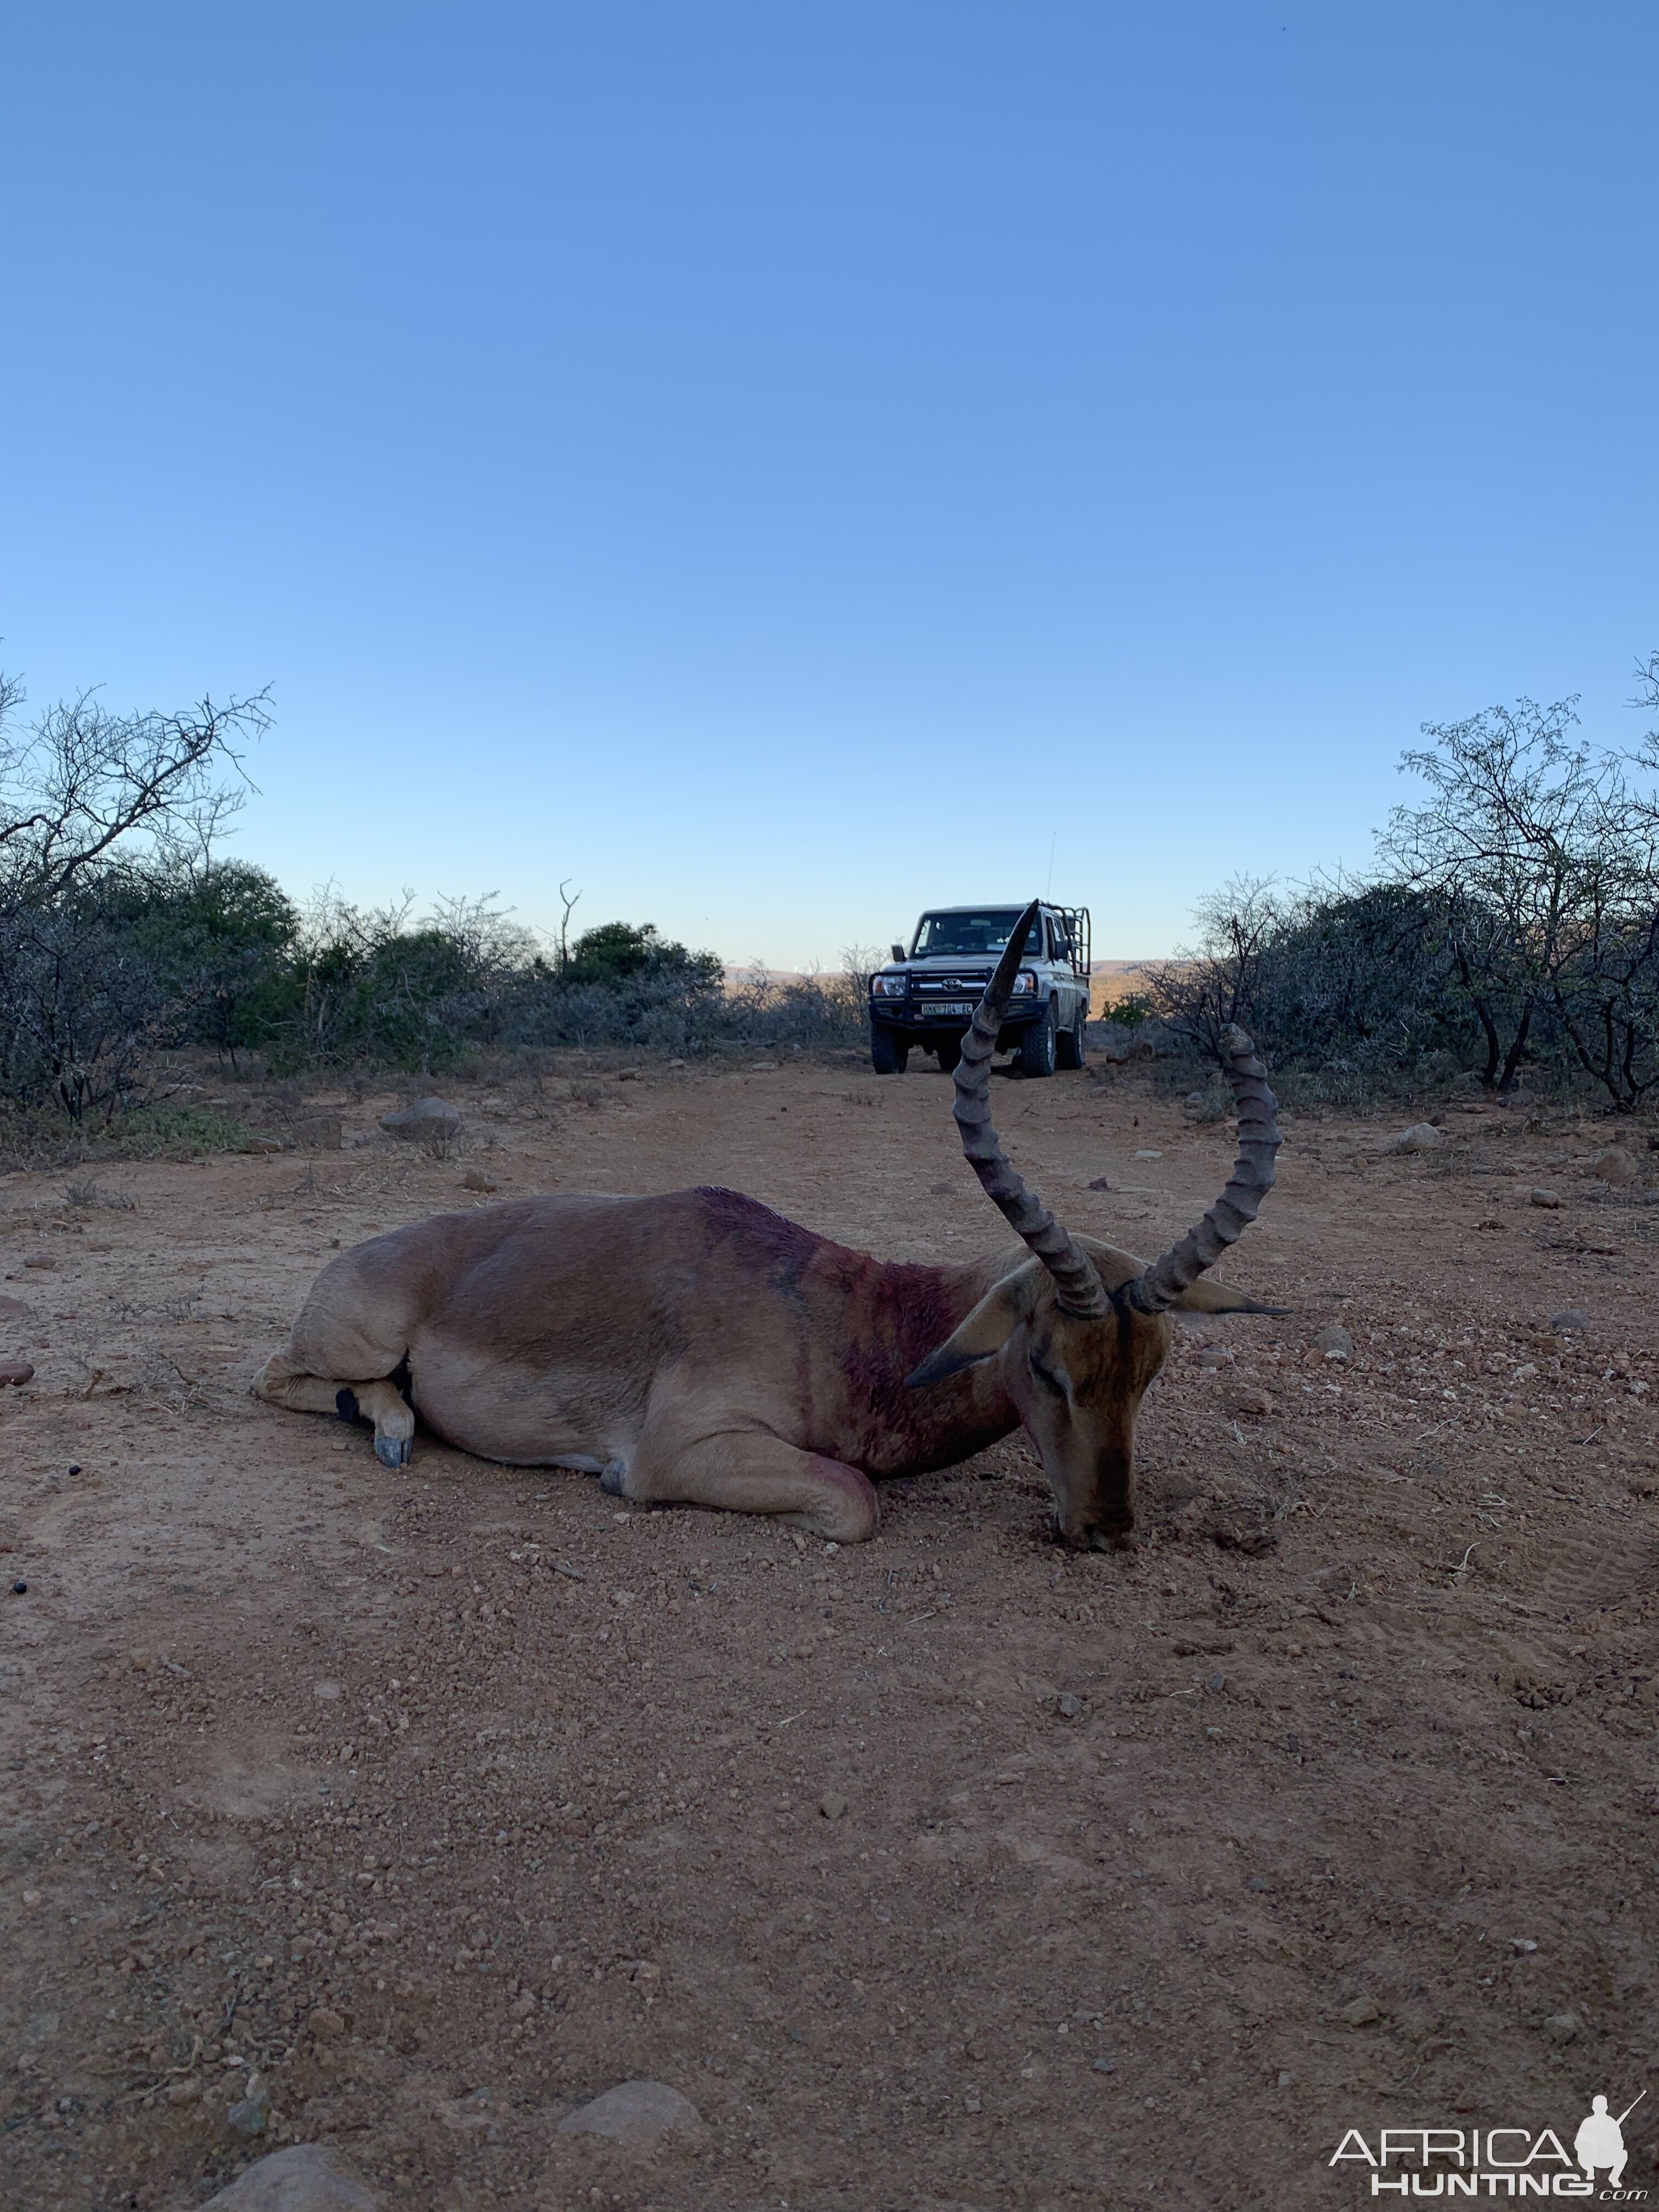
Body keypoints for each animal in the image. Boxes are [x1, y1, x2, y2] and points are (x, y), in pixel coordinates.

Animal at [256, 907, 1283, 1548]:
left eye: (1148, 1371)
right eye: (1048, 1367)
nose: (1107, 1530)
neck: (844, 1321)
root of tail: (359, 1256)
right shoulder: (682, 1452)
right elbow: (855, 1501)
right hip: (355, 1341)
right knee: (281, 1379)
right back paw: (392, 1427)